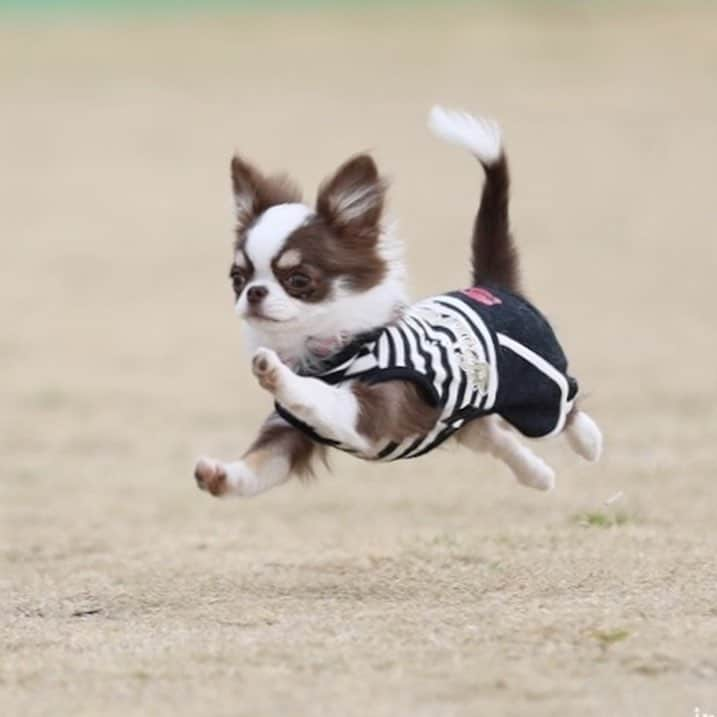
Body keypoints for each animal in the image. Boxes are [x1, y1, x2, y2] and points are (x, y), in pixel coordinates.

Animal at [193, 107, 600, 498]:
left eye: (298, 280)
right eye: (238, 278)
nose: (254, 293)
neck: (332, 350)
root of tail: (492, 285)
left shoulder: (369, 411)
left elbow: (318, 396)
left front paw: (275, 372)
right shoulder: (291, 432)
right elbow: (259, 467)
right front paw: (219, 475)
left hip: (537, 393)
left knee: (567, 409)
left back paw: (591, 442)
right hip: (460, 418)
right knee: (494, 438)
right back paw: (538, 475)